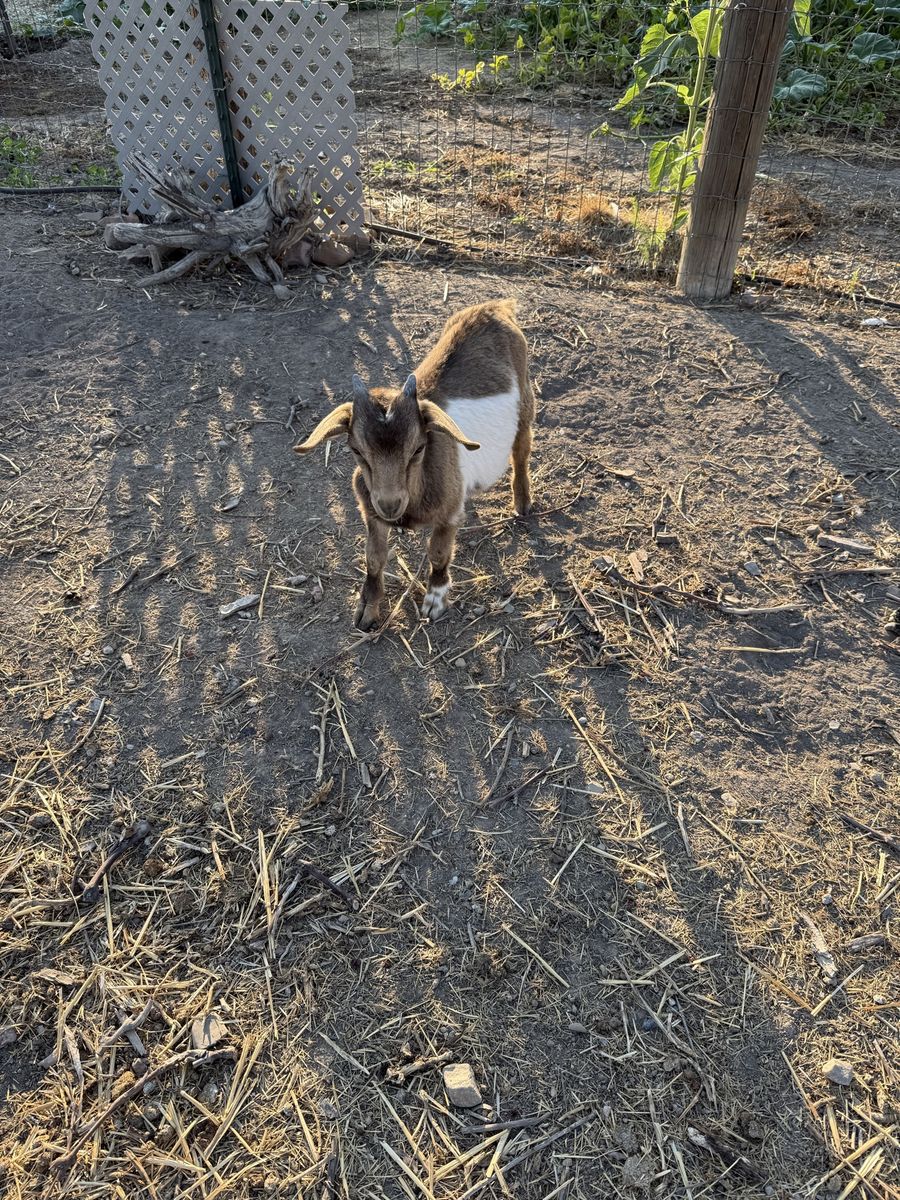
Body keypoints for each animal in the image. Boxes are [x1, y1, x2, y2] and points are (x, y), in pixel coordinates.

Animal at [295, 299, 535, 630]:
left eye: (419, 448)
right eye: (356, 450)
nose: (390, 504)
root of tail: (495, 307)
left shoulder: (448, 515)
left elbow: (438, 554)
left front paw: (435, 599)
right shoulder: (371, 514)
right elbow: (374, 558)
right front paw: (367, 608)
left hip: (525, 399)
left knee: (521, 450)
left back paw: (522, 502)